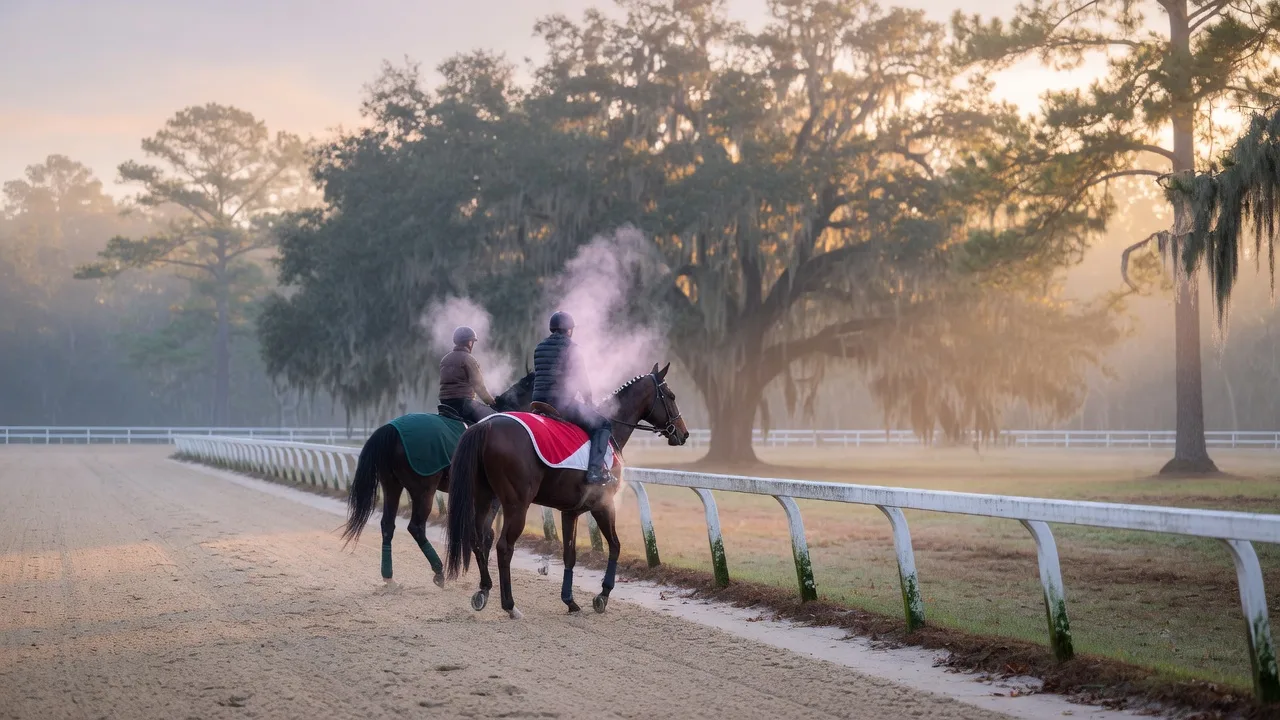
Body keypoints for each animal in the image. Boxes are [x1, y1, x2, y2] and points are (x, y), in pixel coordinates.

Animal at [340, 371, 536, 589]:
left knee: (387, 525)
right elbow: (486, 533)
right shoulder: (492, 498)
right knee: (416, 527)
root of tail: (391, 429)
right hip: (423, 491)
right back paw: (439, 571)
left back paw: (389, 577)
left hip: (392, 485)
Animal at [445, 363, 689, 619]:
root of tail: (486, 425)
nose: (683, 433)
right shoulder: (603, 504)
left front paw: (569, 600)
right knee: (503, 547)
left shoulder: (569, 511)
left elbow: (569, 555)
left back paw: (483, 590)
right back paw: (510, 605)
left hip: (484, 498)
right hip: (515, 505)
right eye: (671, 396)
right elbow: (615, 545)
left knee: (478, 538)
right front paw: (602, 594)